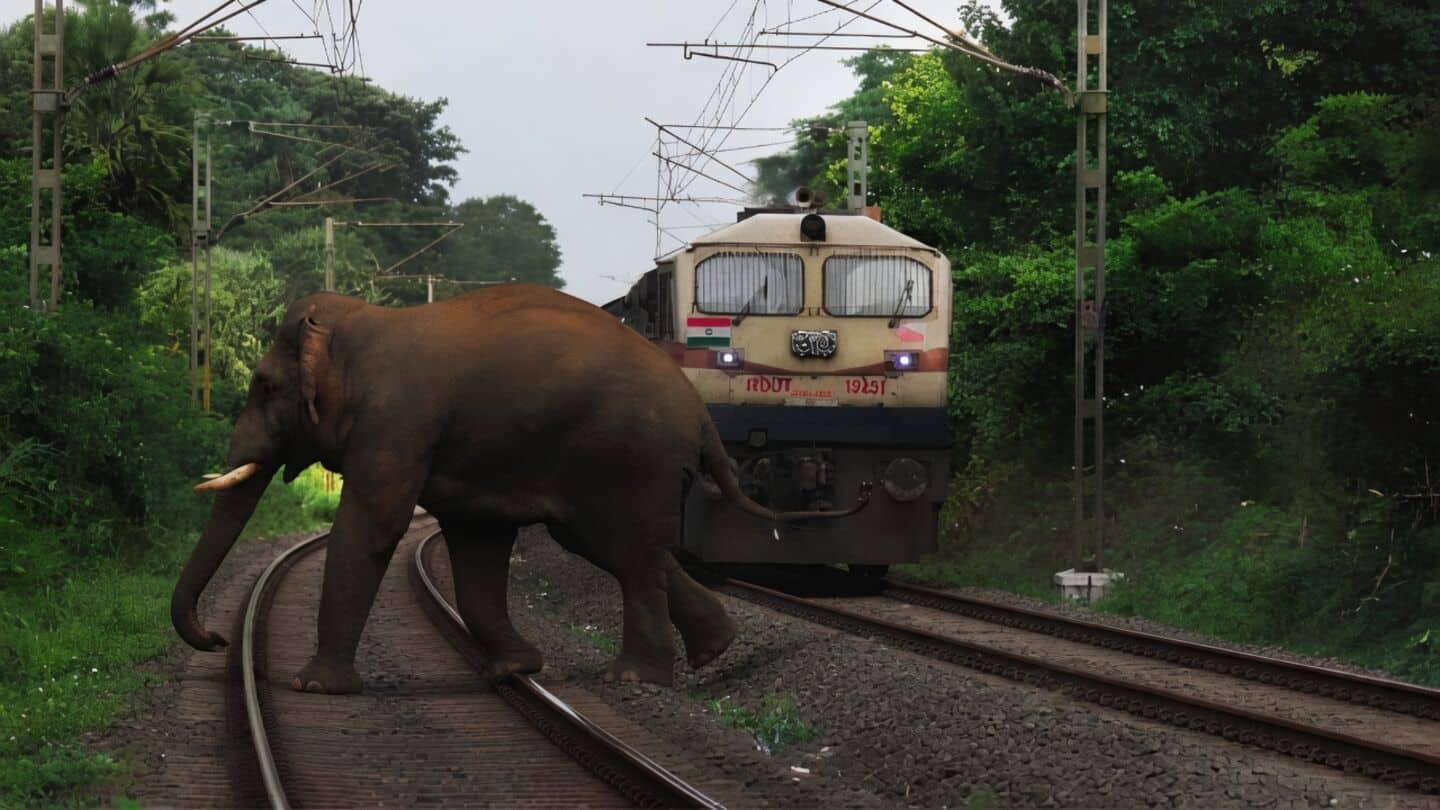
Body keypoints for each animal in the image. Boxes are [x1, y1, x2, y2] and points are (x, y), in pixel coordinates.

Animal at [172, 284, 869, 692]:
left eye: (265, 387)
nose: (219, 639)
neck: (359, 328)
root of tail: (698, 411)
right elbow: (475, 542)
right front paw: (516, 669)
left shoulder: (397, 422)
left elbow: (374, 525)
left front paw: (315, 687)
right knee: (617, 549)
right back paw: (713, 650)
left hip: (628, 458)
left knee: (631, 554)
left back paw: (633, 678)